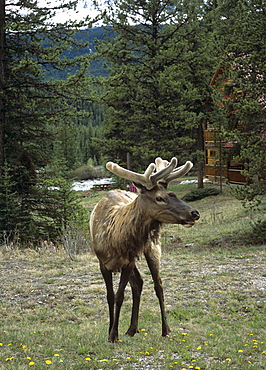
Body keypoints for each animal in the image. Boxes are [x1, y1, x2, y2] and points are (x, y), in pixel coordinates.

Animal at [90, 156, 200, 342]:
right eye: (159, 198)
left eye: (173, 194)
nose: (195, 213)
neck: (115, 240)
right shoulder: (103, 263)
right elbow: (110, 296)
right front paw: (110, 331)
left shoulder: (128, 262)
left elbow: (119, 296)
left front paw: (114, 335)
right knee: (139, 283)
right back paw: (132, 329)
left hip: (152, 248)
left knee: (158, 285)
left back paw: (165, 330)